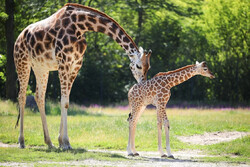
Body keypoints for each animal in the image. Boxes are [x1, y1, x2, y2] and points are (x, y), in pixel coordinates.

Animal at [14, 2, 151, 149]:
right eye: (138, 66)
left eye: (149, 67)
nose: (143, 83)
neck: (80, 26)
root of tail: (19, 37)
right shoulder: (63, 63)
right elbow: (64, 101)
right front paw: (66, 143)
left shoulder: (75, 65)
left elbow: (66, 101)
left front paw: (61, 142)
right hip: (22, 62)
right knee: (22, 96)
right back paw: (21, 141)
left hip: (41, 68)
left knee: (39, 96)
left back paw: (49, 143)